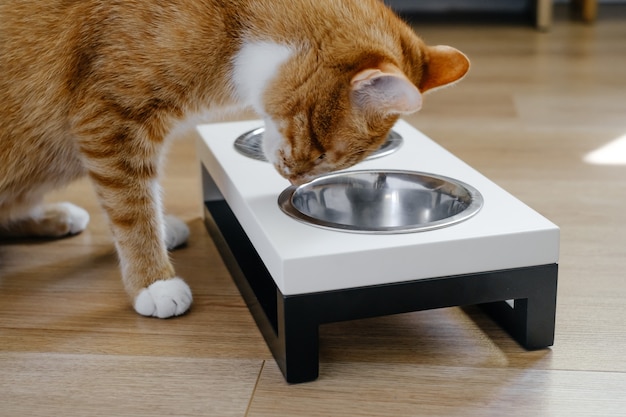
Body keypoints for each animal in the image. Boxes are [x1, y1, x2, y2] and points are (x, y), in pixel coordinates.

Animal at [1, 0, 468, 316]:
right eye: (321, 152)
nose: (295, 181)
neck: (235, 21)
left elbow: (145, 195)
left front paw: (161, 229)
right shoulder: (109, 119)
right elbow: (132, 208)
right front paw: (154, 281)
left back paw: (56, 216)